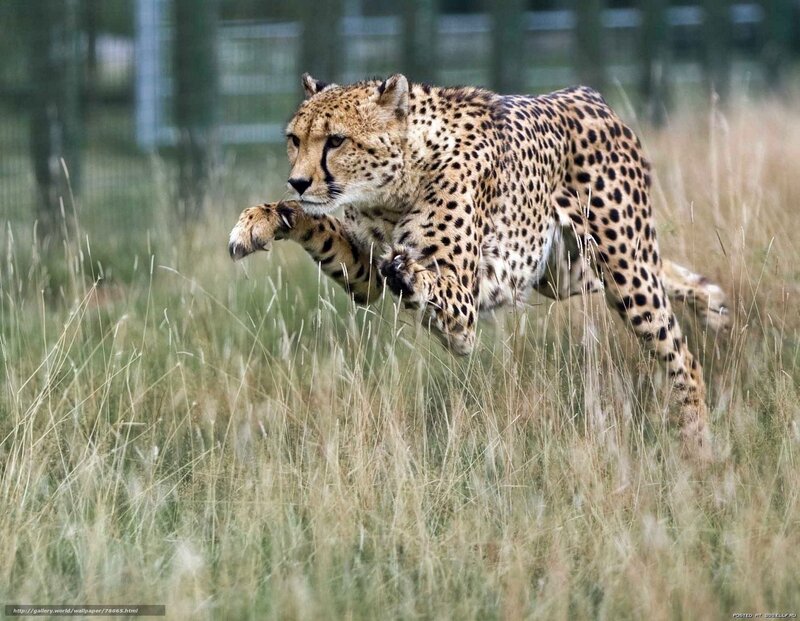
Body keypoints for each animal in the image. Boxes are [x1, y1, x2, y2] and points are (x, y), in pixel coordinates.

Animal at [228, 73, 730, 458]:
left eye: (336, 140)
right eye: (295, 139)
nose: (298, 180)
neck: (391, 189)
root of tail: (586, 94)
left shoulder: (464, 314)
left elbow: (429, 281)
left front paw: (409, 272)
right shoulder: (364, 271)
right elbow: (317, 224)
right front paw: (261, 219)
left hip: (624, 271)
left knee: (682, 356)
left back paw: (697, 446)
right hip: (569, 273)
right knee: (665, 274)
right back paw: (713, 304)